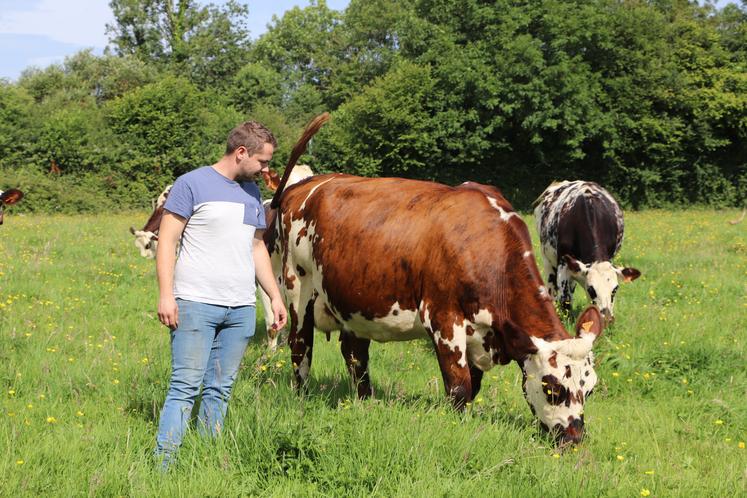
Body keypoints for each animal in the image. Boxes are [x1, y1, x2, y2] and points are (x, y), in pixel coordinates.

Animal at [268, 175, 608, 444]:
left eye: (589, 389)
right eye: (553, 389)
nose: (575, 437)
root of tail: (303, 186)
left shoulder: (477, 335)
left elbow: (473, 386)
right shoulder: (444, 321)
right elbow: (459, 387)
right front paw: (458, 427)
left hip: (354, 305)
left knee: (355, 356)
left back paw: (365, 401)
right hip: (297, 289)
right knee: (301, 348)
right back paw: (302, 397)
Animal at [532, 180, 644, 322]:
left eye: (615, 289)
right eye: (591, 289)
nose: (607, 318)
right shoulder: (563, 261)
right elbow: (565, 299)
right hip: (547, 260)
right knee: (553, 288)